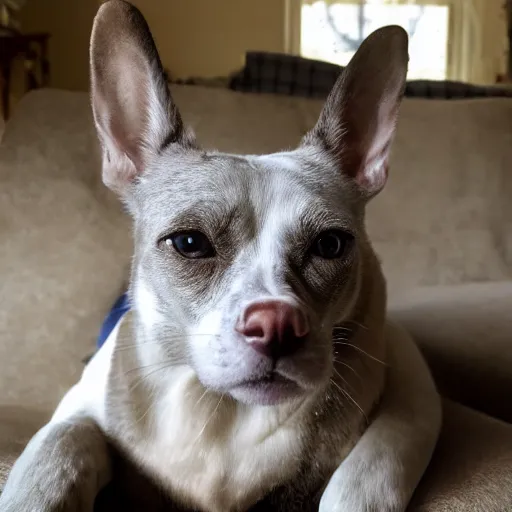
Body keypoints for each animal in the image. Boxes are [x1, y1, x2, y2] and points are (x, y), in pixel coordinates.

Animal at [0, 2, 442, 510]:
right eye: (189, 243)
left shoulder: (413, 398)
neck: (218, 412)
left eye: (330, 245)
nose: (277, 325)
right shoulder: (75, 412)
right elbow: (58, 443)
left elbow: (371, 466)